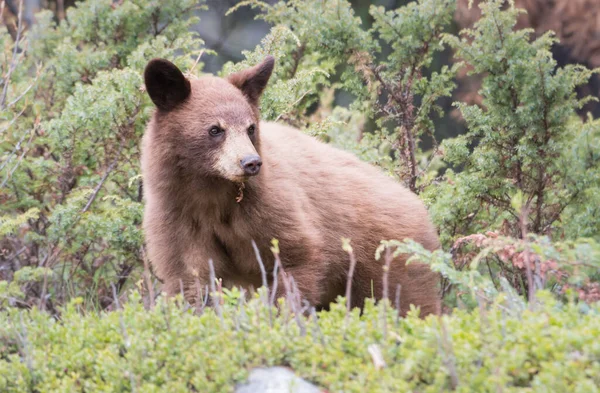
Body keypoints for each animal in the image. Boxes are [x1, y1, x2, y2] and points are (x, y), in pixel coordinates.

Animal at [141, 55, 440, 316]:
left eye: (250, 128)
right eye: (215, 129)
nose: (251, 162)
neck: (213, 193)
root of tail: (419, 207)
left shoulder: (271, 206)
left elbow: (298, 257)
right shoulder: (178, 216)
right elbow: (192, 279)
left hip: (390, 261)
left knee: (410, 302)